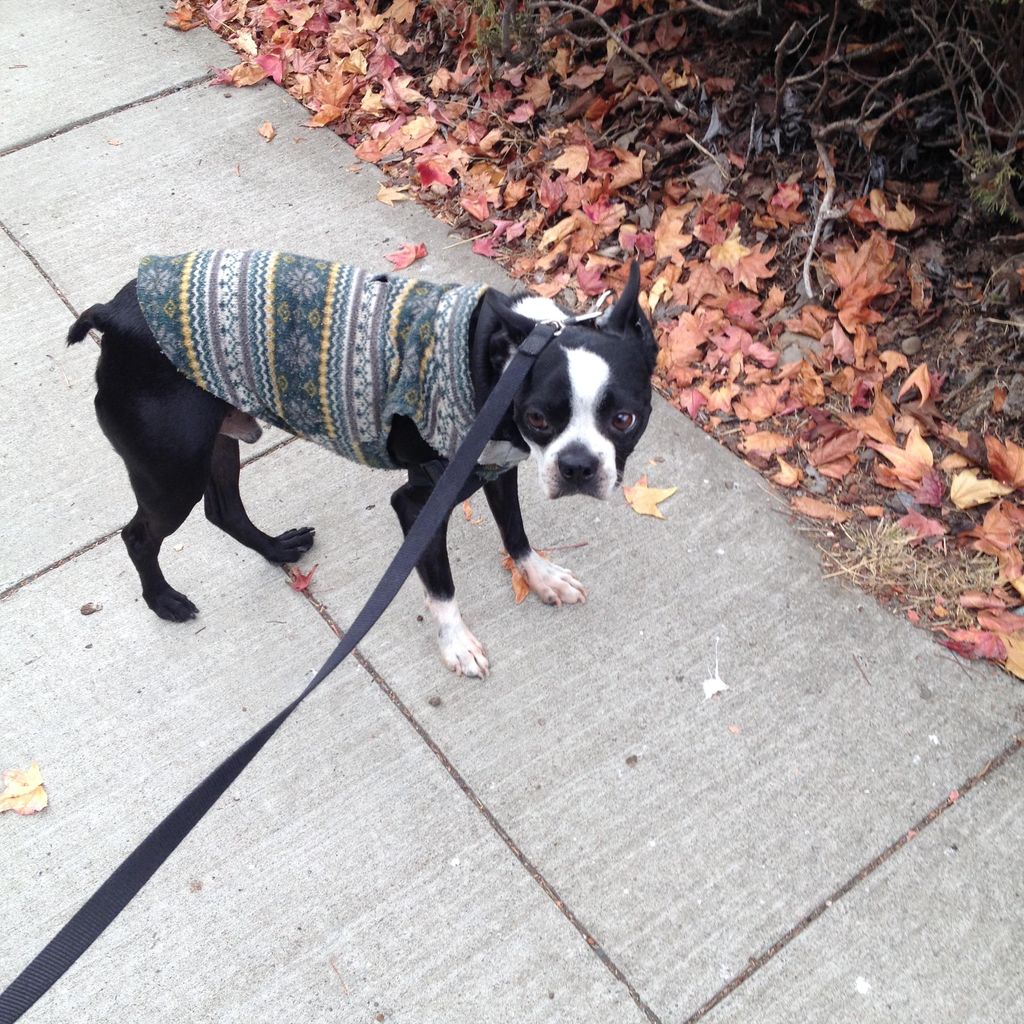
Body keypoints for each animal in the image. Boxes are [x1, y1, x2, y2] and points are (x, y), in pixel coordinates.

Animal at [68, 250, 655, 675]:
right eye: (537, 417)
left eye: (624, 418)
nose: (577, 465)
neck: (505, 359)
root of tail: (113, 316)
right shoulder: (420, 503)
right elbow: (442, 586)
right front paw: (457, 644)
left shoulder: (498, 469)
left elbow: (515, 533)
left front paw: (541, 578)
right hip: (172, 474)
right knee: (140, 535)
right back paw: (163, 600)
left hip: (215, 446)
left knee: (224, 510)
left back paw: (277, 549)